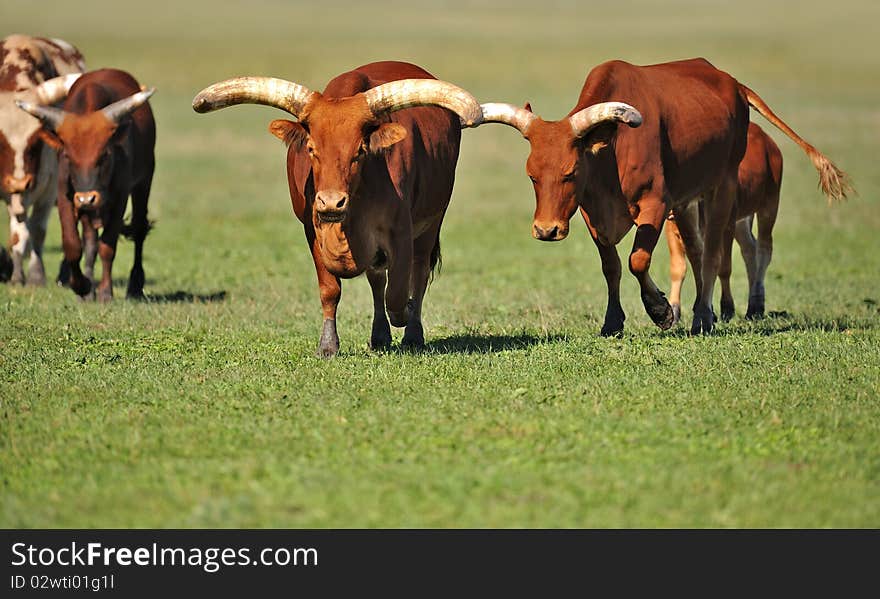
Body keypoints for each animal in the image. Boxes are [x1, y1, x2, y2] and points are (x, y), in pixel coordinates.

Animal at [0, 34, 84, 288]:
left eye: (36, 140)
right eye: (0, 140)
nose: (19, 183)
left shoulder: (49, 189)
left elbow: (37, 230)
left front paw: (36, 276)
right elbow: (18, 232)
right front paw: (16, 275)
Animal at [18, 68, 157, 302]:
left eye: (104, 155)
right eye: (67, 155)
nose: (86, 198)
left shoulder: (120, 197)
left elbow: (107, 246)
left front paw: (106, 292)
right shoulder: (65, 195)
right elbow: (73, 245)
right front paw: (82, 286)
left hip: (144, 181)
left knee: (138, 229)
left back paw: (135, 286)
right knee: (90, 241)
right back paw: (89, 289)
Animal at [192, 62, 482, 356]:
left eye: (360, 150)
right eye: (311, 148)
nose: (331, 202)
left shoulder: (401, 230)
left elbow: (398, 292)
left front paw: (405, 315)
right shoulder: (312, 231)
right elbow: (331, 289)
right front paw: (328, 345)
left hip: (433, 220)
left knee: (418, 272)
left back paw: (412, 332)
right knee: (377, 278)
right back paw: (380, 334)